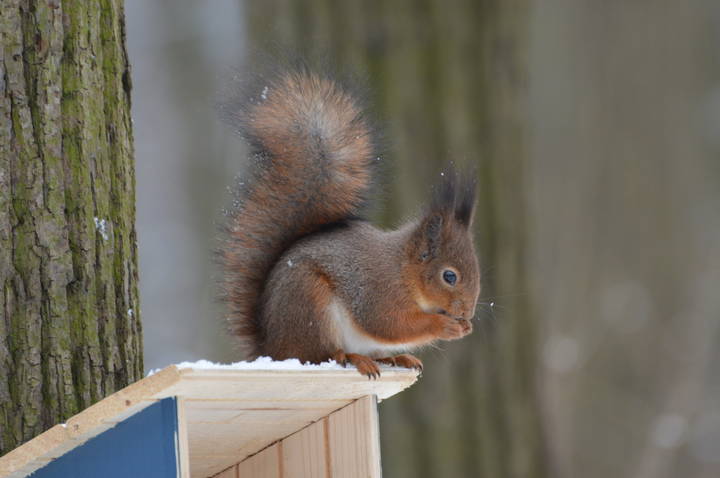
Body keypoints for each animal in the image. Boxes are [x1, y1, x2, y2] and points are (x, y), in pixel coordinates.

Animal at [218, 64, 481, 378]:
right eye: (449, 276)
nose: (467, 313)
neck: (402, 270)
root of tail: (273, 349)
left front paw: (465, 327)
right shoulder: (376, 291)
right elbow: (389, 324)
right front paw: (445, 326)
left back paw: (396, 358)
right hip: (311, 305)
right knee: (320, 355)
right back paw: (352, 357)